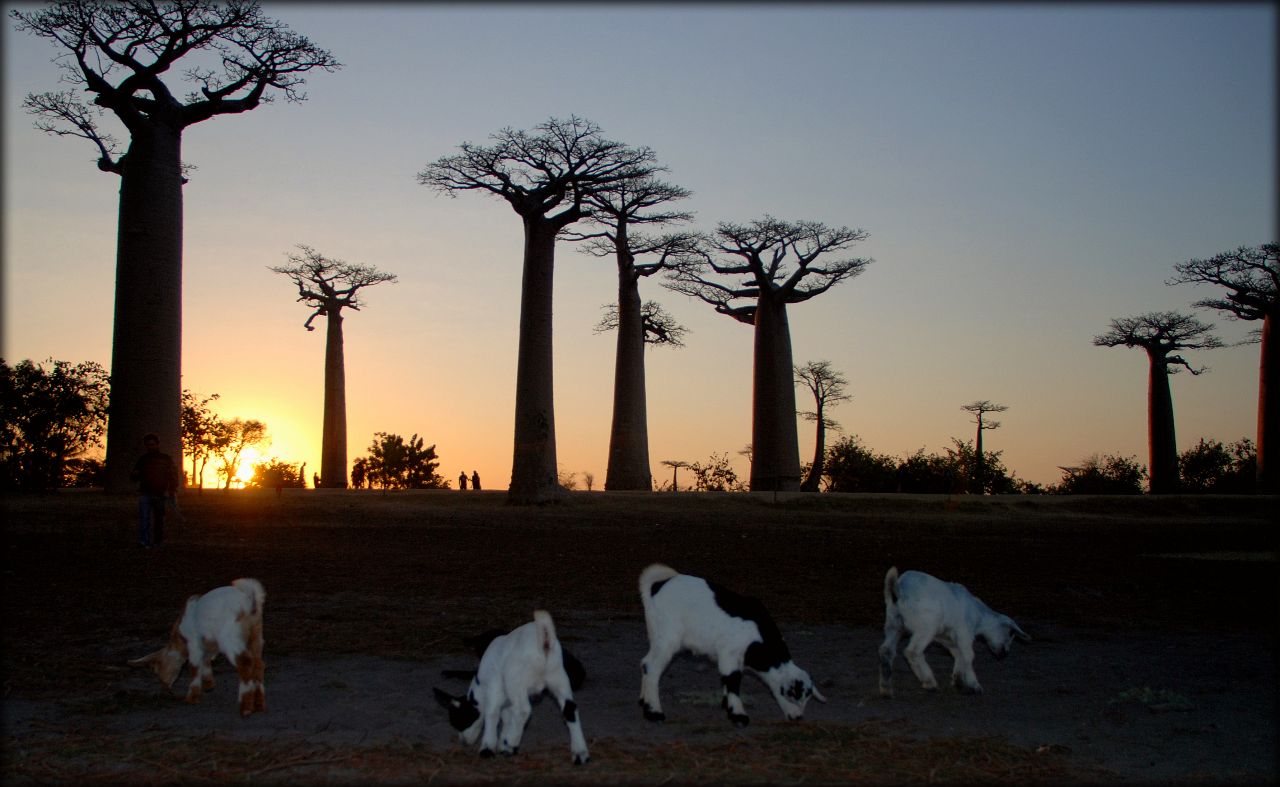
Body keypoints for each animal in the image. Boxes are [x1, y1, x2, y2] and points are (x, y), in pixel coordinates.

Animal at [128, 575, 267, 716]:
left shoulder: (193, 643)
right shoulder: (209, 644)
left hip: (231, 638)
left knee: (245, 663)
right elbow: (205, 661)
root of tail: (250, 600)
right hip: (256, 637)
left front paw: (191, 698)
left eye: (156, 670)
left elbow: (194, 667)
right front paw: (208, 685)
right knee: (258, 665)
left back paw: (246, 708)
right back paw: (259, 705)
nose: (165, 689)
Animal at [430, 609, 588, 762]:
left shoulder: (494, 690)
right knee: (570, 709)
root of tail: (543, 642)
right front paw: (503, 743)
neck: (480, 686)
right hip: (558, 678)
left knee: (524, 710)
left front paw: (488, 748)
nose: (463, 743)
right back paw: (580, 753)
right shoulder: (508, 700)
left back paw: (512, 742)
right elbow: (507, 718)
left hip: (517, 681)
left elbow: (492, 715)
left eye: (460, 720)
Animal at [634, 565, 824, 726]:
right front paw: (738, 715)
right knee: (651, 666)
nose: (798, 717)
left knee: (644, 662)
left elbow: (728, 680)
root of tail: (657, 586)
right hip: (667, 637)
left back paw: (643, 700)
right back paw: (654, 712)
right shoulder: (731, 653)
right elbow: (732, 679)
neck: (760, 640)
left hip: (656, 634)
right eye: (795, 697)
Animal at [880, 565, 1029, 696]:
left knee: (886, 650)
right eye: (1010, 633)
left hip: (893, 623)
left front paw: (959, 681)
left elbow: (958, 654)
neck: (979, 615)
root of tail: (899, 589)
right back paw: (929, 682)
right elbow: (968, 656)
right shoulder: (964, 632)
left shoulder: (946, 637)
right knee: (912, 652)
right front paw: (974, 685)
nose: (1004, 653)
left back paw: (886, 688)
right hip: (926, 626)